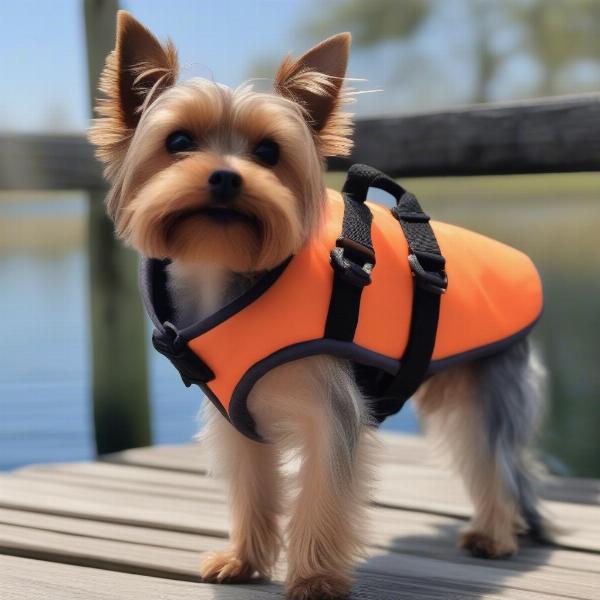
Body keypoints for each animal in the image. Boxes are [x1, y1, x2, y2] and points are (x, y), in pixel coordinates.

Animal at [90, 11, 548, 596]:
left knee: (492, 457)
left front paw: (313, 578)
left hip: (489, 378)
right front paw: (243, 559)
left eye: (268, 152)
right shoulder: (236, 415)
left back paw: (493, 534)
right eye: (178, 140)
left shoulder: (330, 410)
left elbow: (323, 494)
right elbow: (252, 486)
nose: (225, 176)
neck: (223, 266)